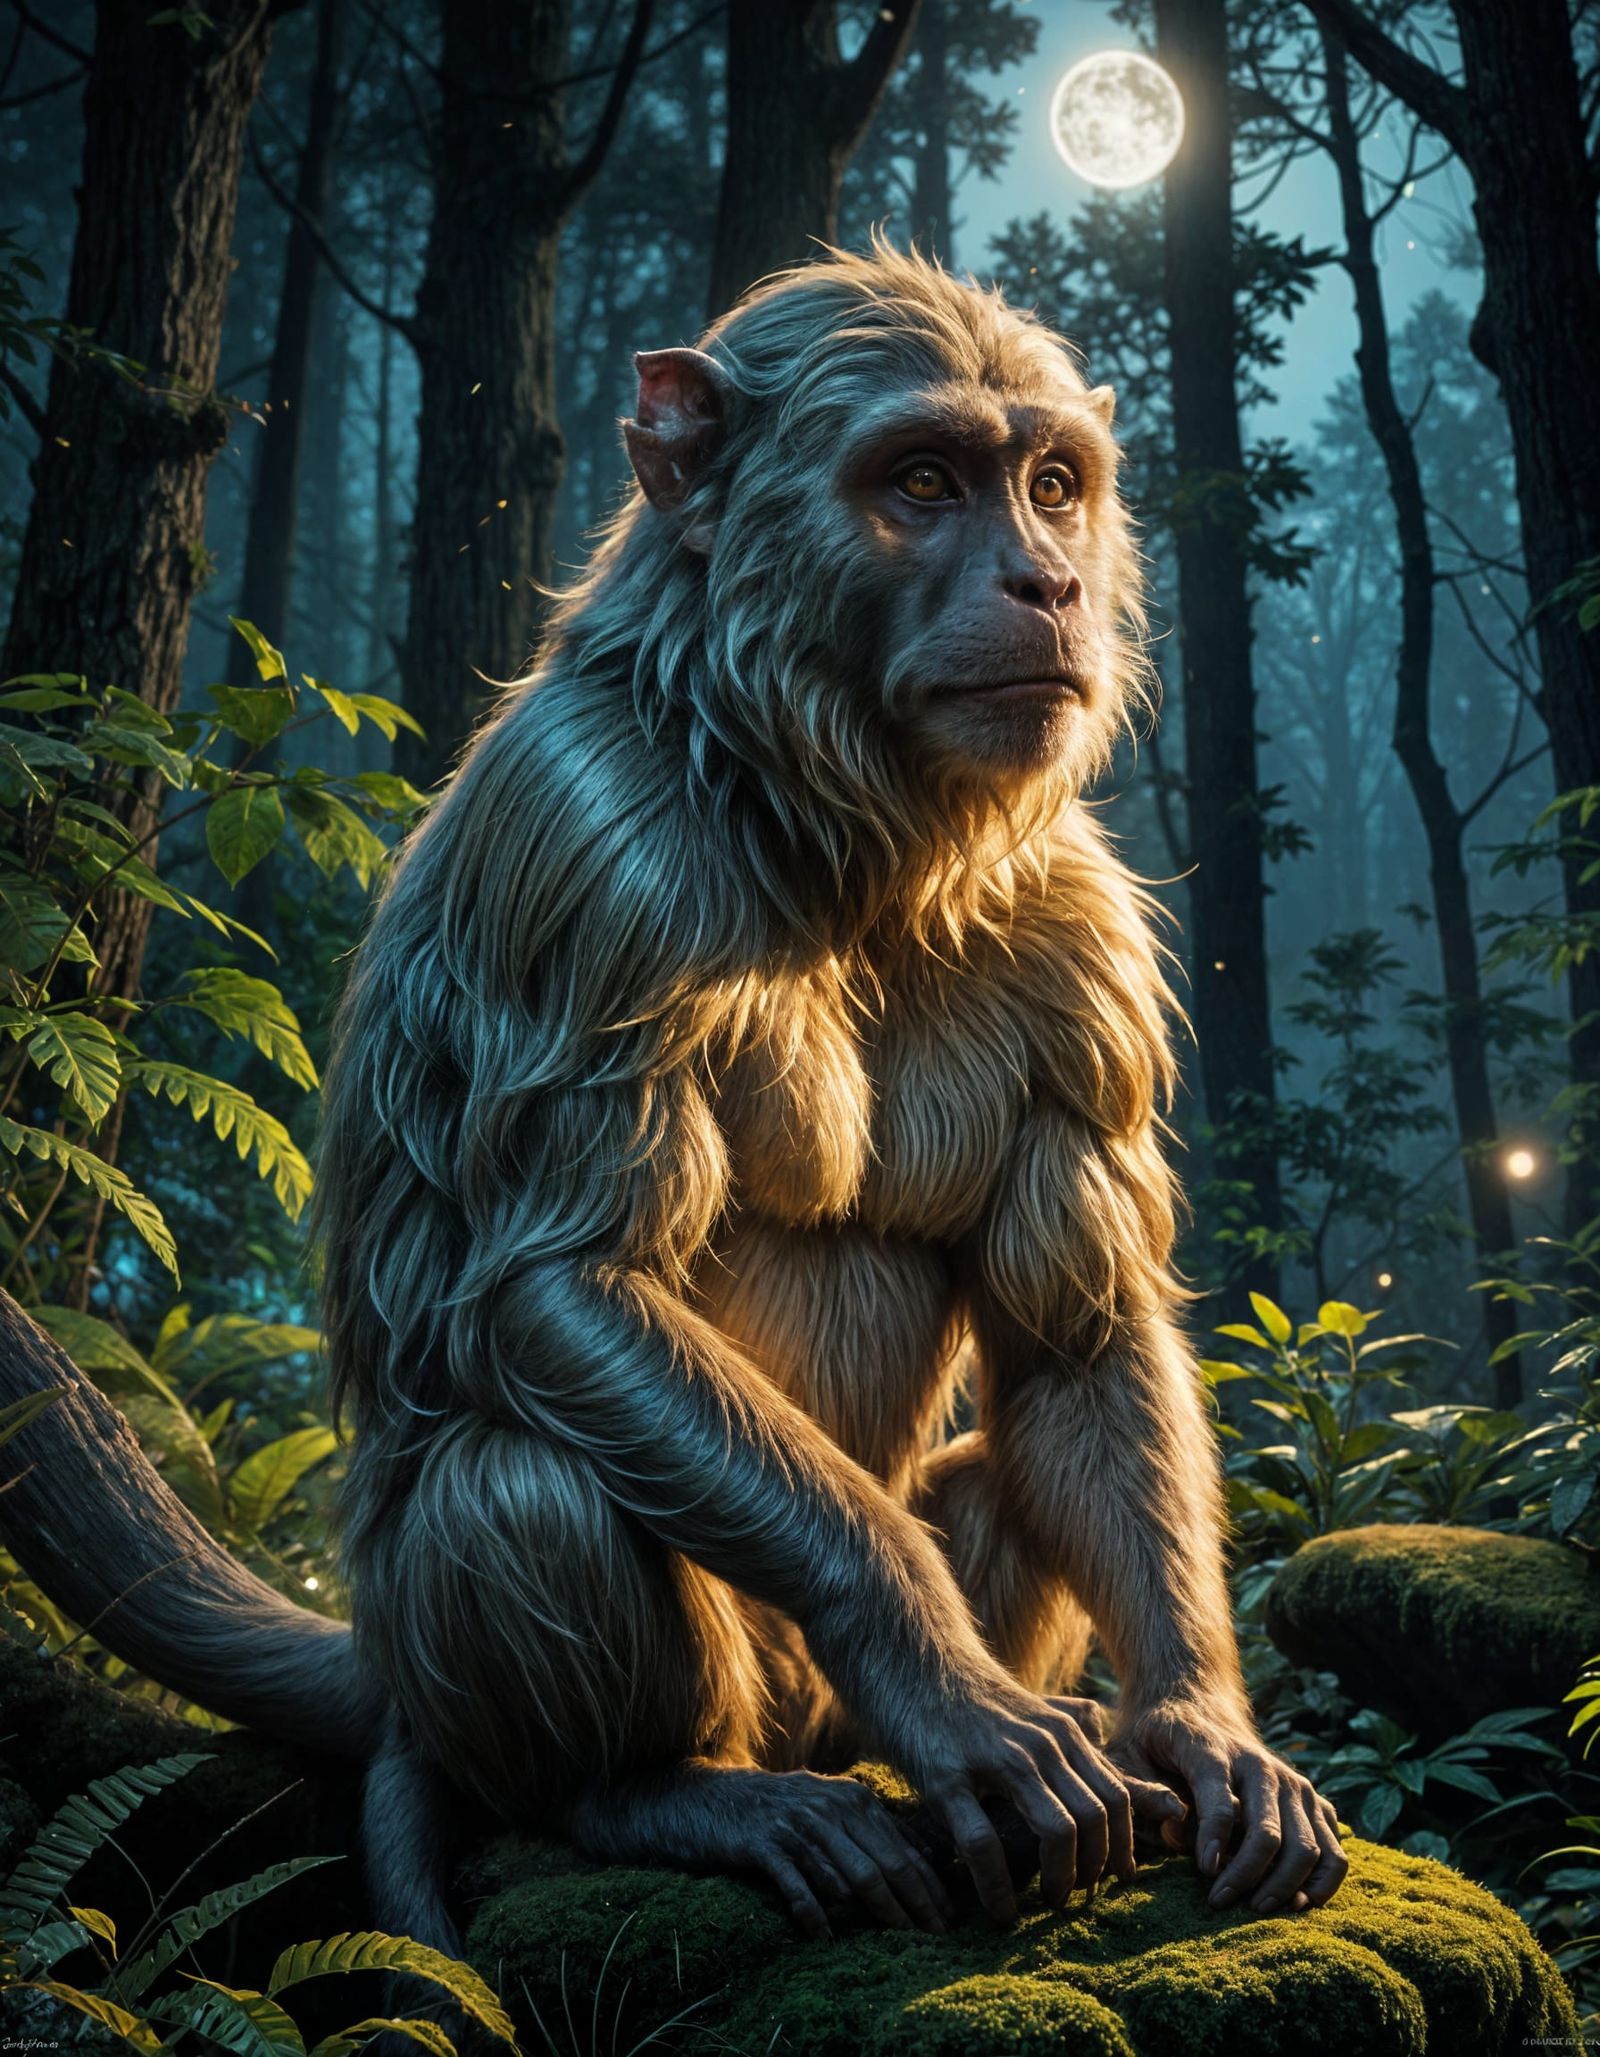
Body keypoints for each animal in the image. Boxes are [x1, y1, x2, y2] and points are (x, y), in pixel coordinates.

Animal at [305, 239, 1347, 1949]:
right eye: (921, 481)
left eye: (1052, 484)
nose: (1047, 583)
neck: (813, 806)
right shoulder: (591, 855)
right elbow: (565, 1282)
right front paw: (955, 1694)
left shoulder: (1075, 927)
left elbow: (1075, 1328)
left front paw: (1199, 1720)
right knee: (519, 1477)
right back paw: (664, 1792)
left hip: (823, 1711)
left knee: (989, 1461)